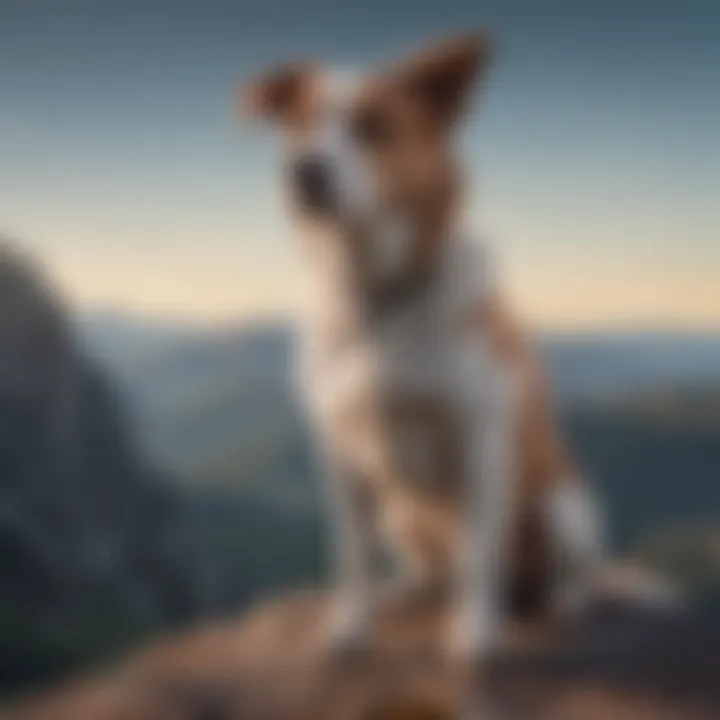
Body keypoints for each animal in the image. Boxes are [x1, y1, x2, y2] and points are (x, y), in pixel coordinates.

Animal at [239, 32, 604, 664]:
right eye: (299, 125)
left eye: (373, 126)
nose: (303, 171)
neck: (378, 294)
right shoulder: (339, 455)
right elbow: (351, 557)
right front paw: (351, 625)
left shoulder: (481, 441)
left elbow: (480, 554)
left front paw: (476, 633)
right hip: (398, 511)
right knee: (430, 567)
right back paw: (411, 588)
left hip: (567, 505)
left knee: (567, 570)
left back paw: (562, 601)